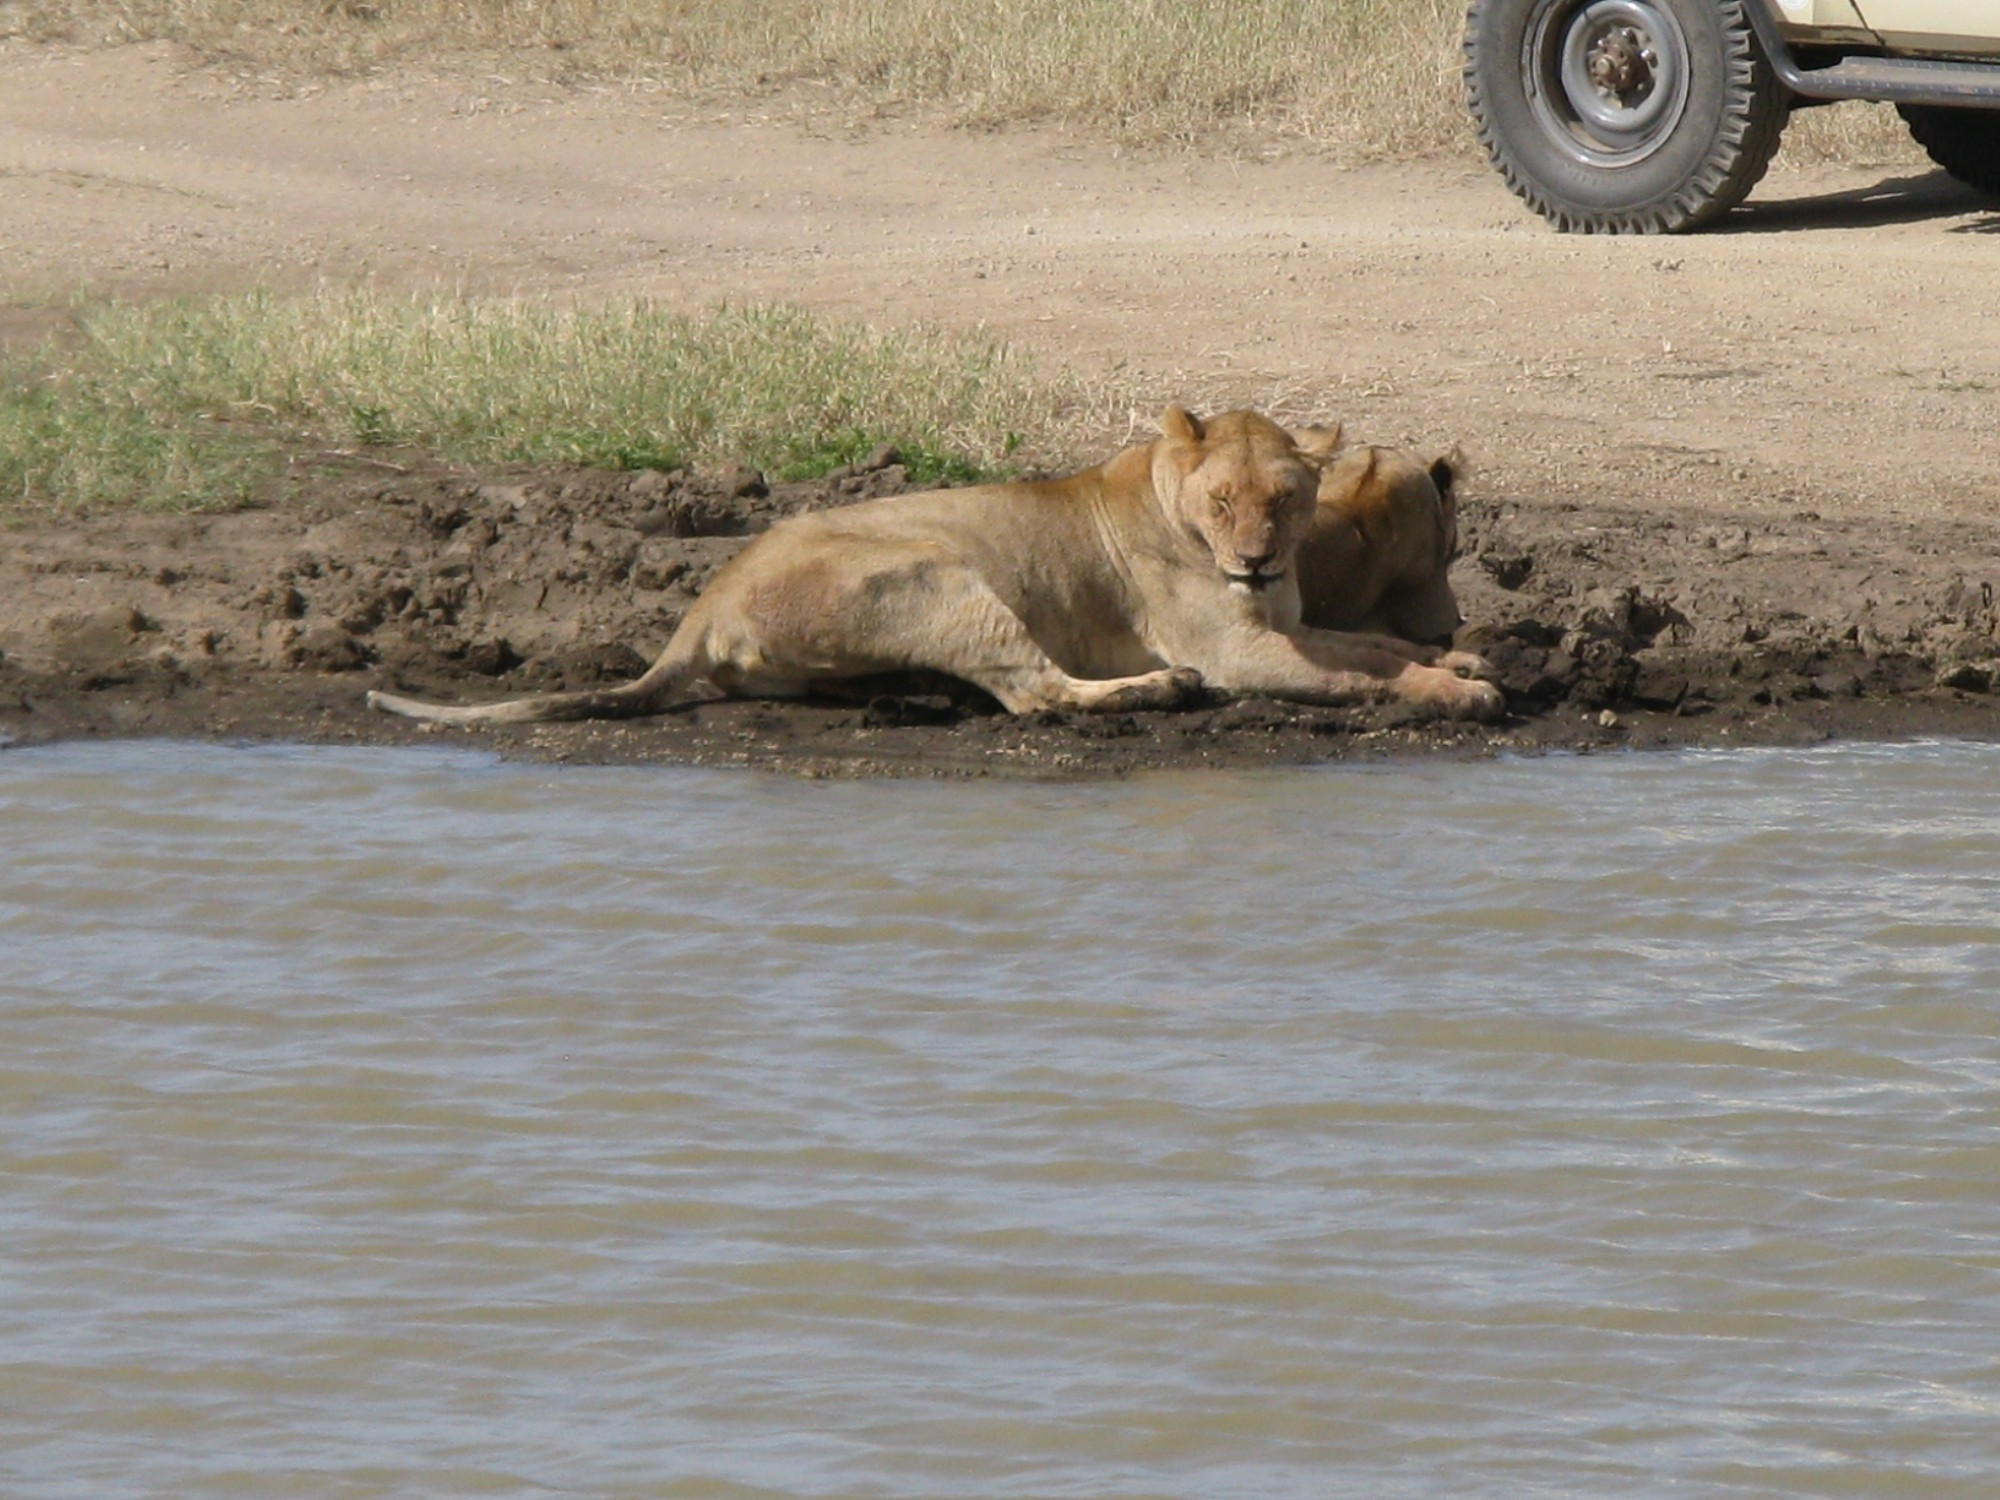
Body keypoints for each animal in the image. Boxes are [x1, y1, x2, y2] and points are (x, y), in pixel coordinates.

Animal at [372, 406, 1504, 724]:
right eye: (1223, 502)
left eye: (1286, 499)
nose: (1258, 559)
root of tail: (702, 605)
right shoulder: (1240, 650)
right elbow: (1356, 673)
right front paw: (1453, 691)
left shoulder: (1284, 623)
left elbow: (1364, 647)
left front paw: (1458, 663)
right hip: (937, 576)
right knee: (1035, 696)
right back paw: (1154, 690)